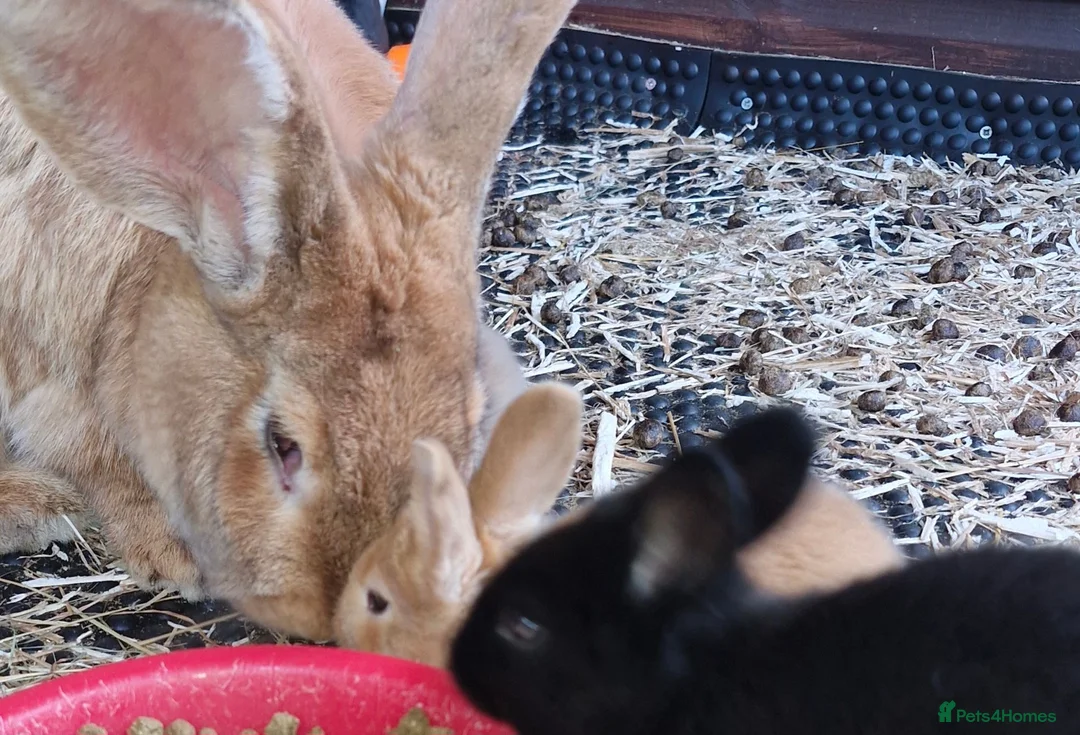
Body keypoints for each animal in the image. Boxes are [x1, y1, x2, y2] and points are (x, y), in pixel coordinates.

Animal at [0, 0, 577, 643]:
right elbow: (100, 462)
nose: (332, 615)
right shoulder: (48, 371)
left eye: (470, 424)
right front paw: (172, 558)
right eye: (282, 445)